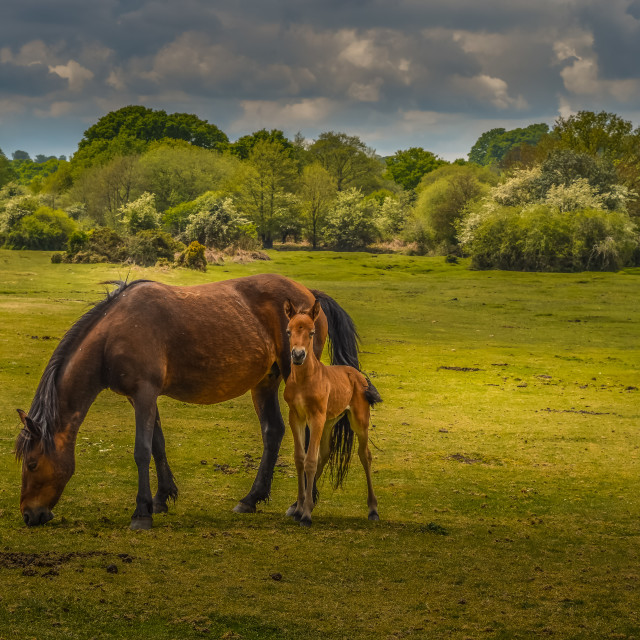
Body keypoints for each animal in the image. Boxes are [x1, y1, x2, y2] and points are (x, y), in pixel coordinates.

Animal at [13, 276, 360, 528]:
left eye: (32, 464)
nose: (29, 515)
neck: (114, 334)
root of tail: (309, 297)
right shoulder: (141, 398)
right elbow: (157, 445)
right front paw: (161, 498)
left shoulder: (144, 393)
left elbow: (141, 451)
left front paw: (141, 513)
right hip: (266, 381)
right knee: (273, 432)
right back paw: (251, 499)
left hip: (295, 377)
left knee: (311, 435)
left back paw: (303, 502)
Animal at [282, 298, 380, 524]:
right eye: (289, 331)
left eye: (311, 332)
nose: (297, 355)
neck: (304, 380)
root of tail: (357, 374)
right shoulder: (296, 416)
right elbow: (300, 459)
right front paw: (299, 507)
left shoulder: (315, 417)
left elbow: (310, 460)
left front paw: (306, 514)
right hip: (329, 422)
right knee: (325, 454)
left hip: (358, 420)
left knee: (365, 455)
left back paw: (373, 509)